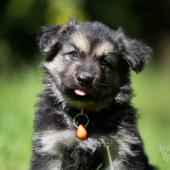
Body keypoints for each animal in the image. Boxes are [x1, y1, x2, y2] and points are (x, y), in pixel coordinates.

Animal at [30, 19, 154, 169]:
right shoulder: (51, 146)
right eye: (74, 54)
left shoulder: (121, 148)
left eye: (104, 61)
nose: (85, 78)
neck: (84, 113)